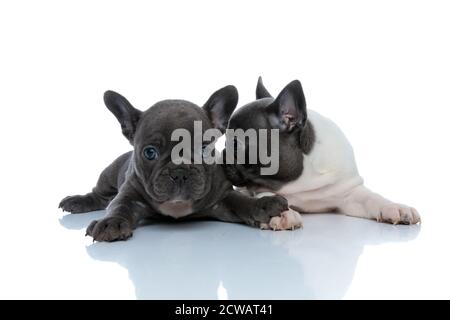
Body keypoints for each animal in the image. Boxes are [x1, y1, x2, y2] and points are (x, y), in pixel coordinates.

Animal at [58, 86, 288, 241]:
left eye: (204, 148)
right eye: (150, 152)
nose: (179, 172)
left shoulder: (222, 199)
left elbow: (241, 201)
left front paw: (264, 204)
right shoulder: (129, 195)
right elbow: (118, 206)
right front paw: (110, 222)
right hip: (108, 175)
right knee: (100, 196)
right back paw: (77, 201)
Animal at [223, 77, 420, 230]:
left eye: (235, 144)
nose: (221, 154)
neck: (301, 178)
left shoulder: (349, 192)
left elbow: (372, 198)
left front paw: (395, 207)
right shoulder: (256, 189)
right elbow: (266, 195)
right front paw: (281, 214)